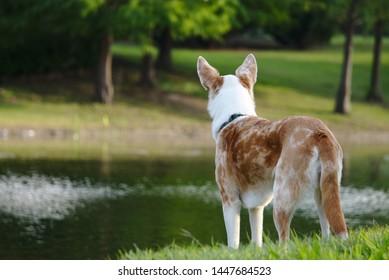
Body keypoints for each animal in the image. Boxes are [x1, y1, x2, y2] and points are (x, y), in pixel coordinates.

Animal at [197, 54, 346, 247]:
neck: (235, 116)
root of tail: (319, 132)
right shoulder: (257, 207)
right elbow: (257, 241)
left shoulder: (229, 200)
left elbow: (233, 243)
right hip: (323, 194)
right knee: (327, 232)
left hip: (282, 198)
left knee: (285, 241)